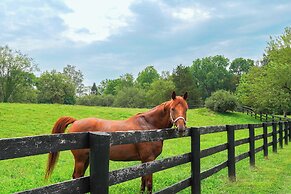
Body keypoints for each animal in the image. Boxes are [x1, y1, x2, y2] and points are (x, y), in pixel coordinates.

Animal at [44, 91, 188, 193]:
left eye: (186, 109)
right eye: (173, 109)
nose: (181, 128)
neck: (148, 126)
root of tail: (76, 121)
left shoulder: (143, 161)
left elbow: (142, 183)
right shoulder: (149, 160)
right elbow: (149, 184)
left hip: (86, 159)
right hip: (81, 160)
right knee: (77, 178)